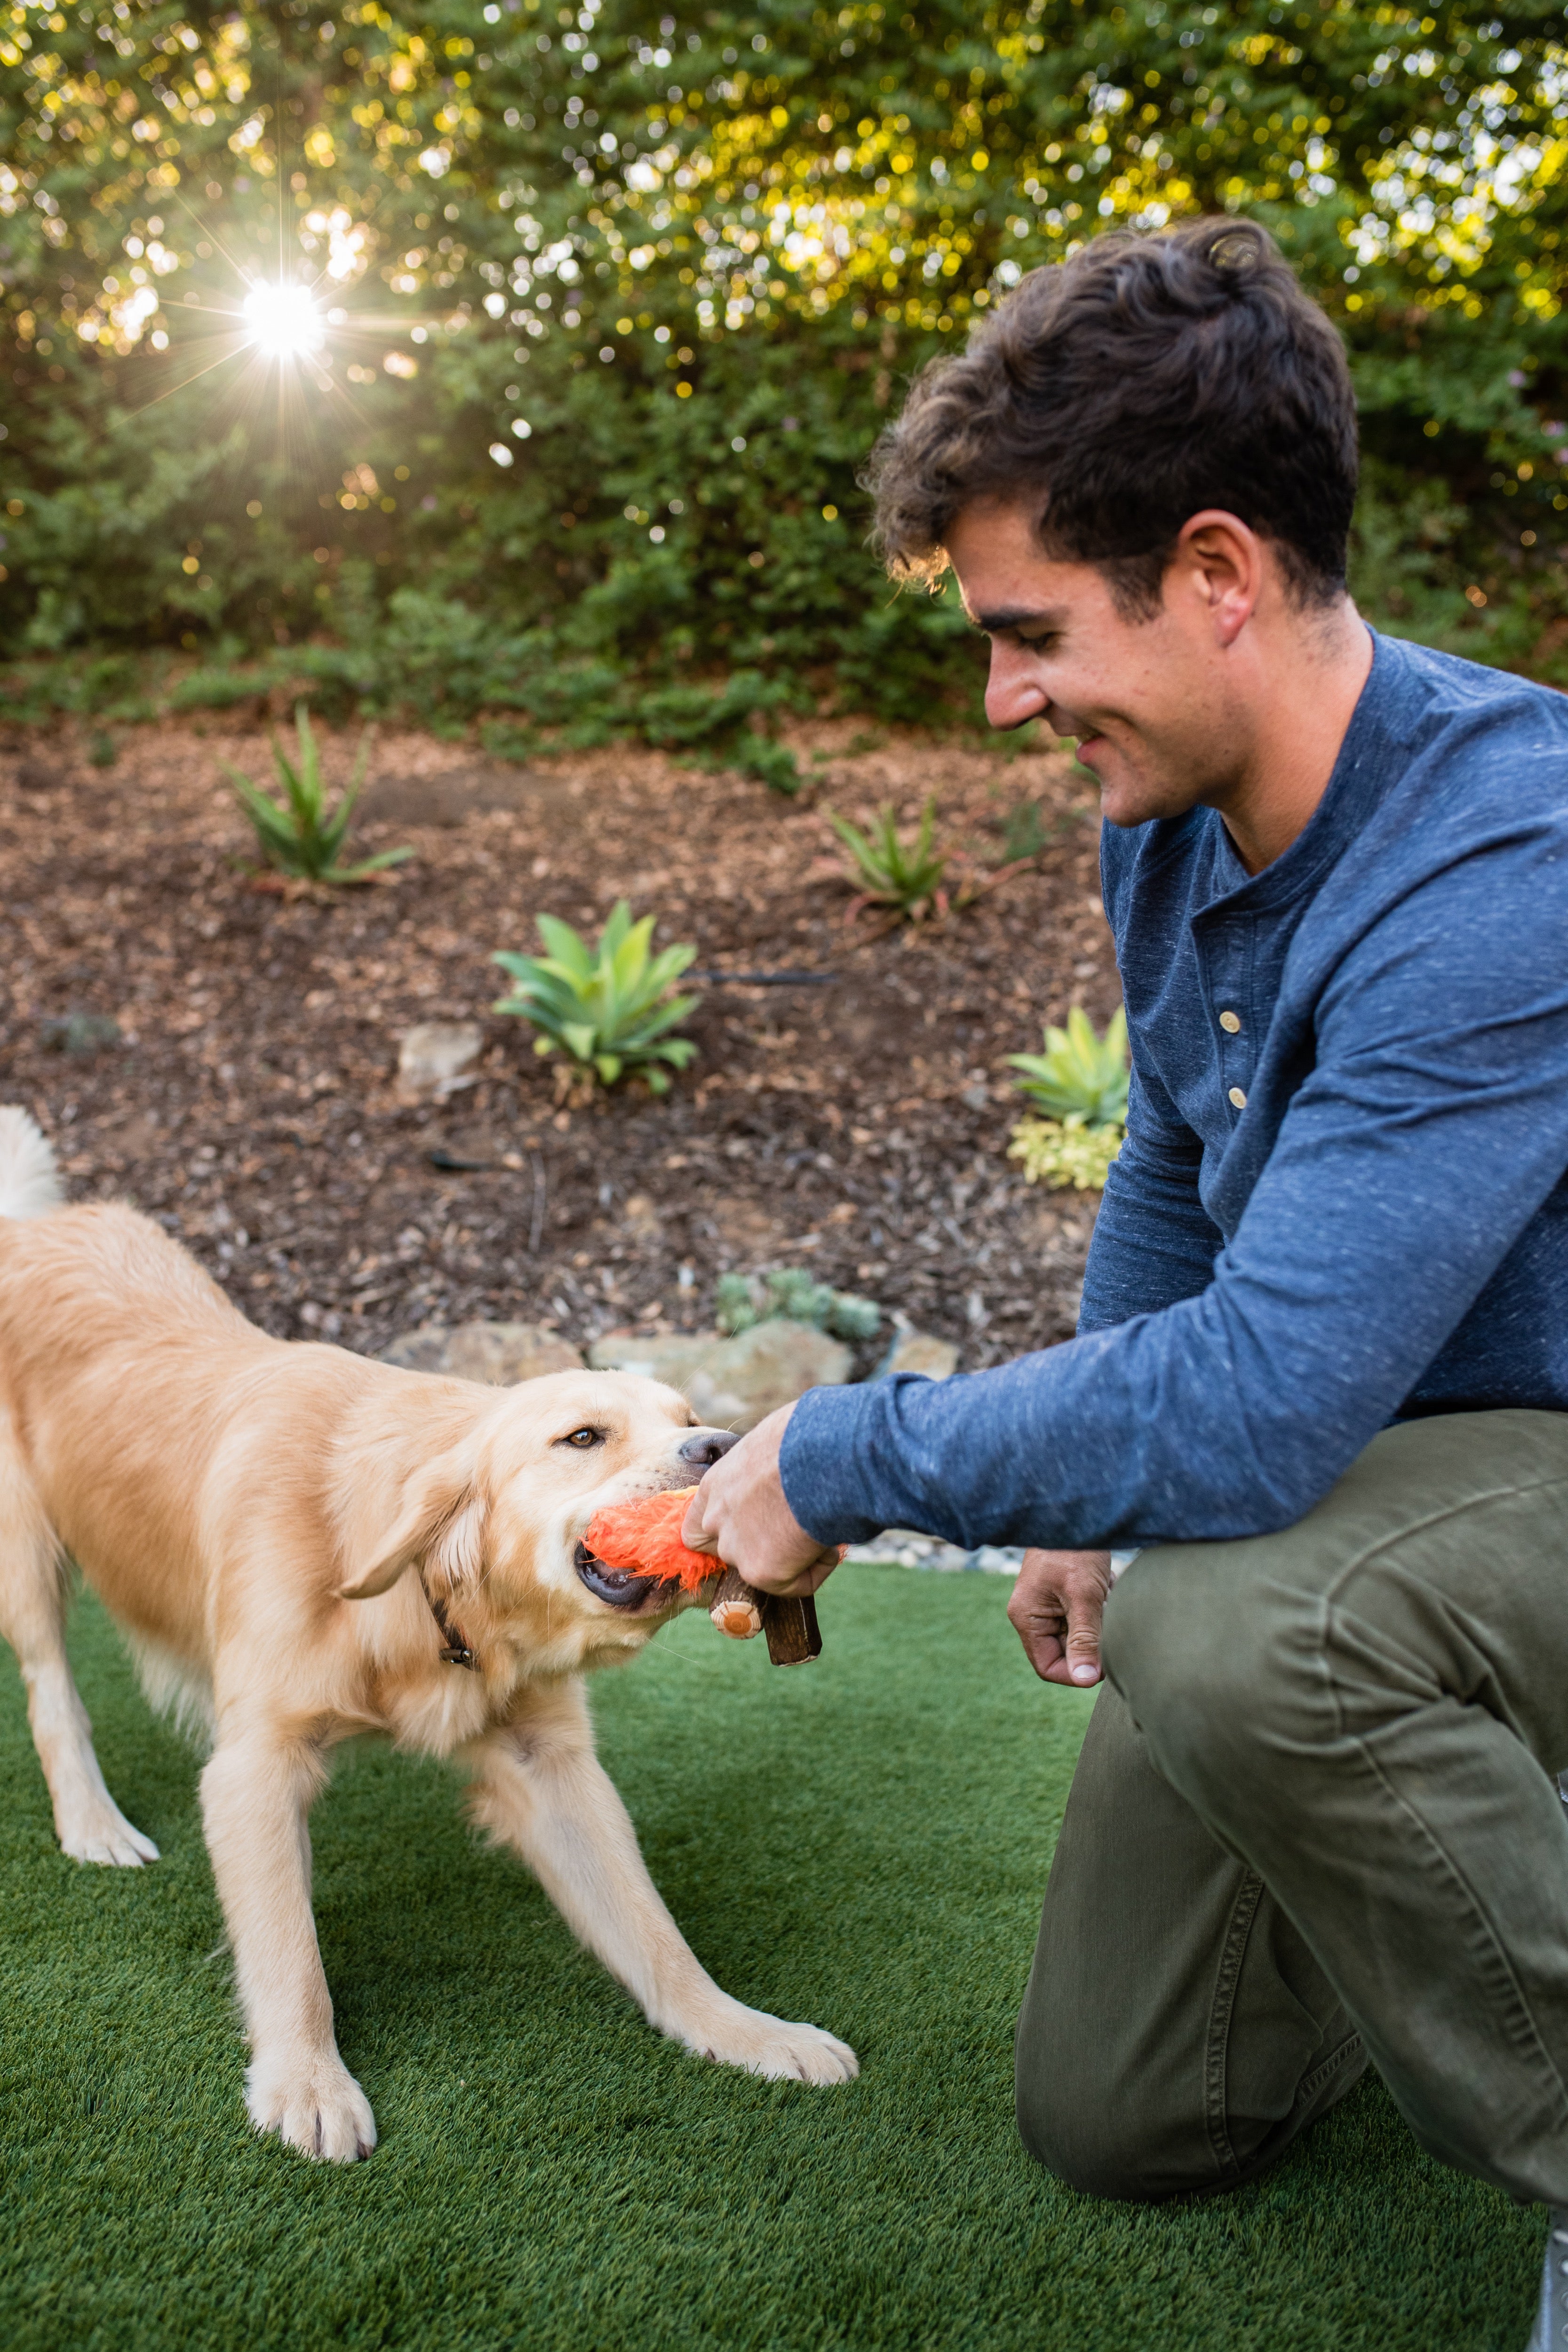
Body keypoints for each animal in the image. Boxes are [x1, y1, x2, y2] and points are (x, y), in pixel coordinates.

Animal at [0, 1110, 860, 2154]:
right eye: (581, 1437)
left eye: (689, 1417)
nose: (723, 1448)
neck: (413, 1599)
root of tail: (29, 1225)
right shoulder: (254, 1765)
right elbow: (289, 1950)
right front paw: (308, 2083)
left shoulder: (548, 1764)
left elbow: (654, 1933)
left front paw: (745, 2033)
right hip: (25, 1546)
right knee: (50, 1684)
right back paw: (92, 1823)